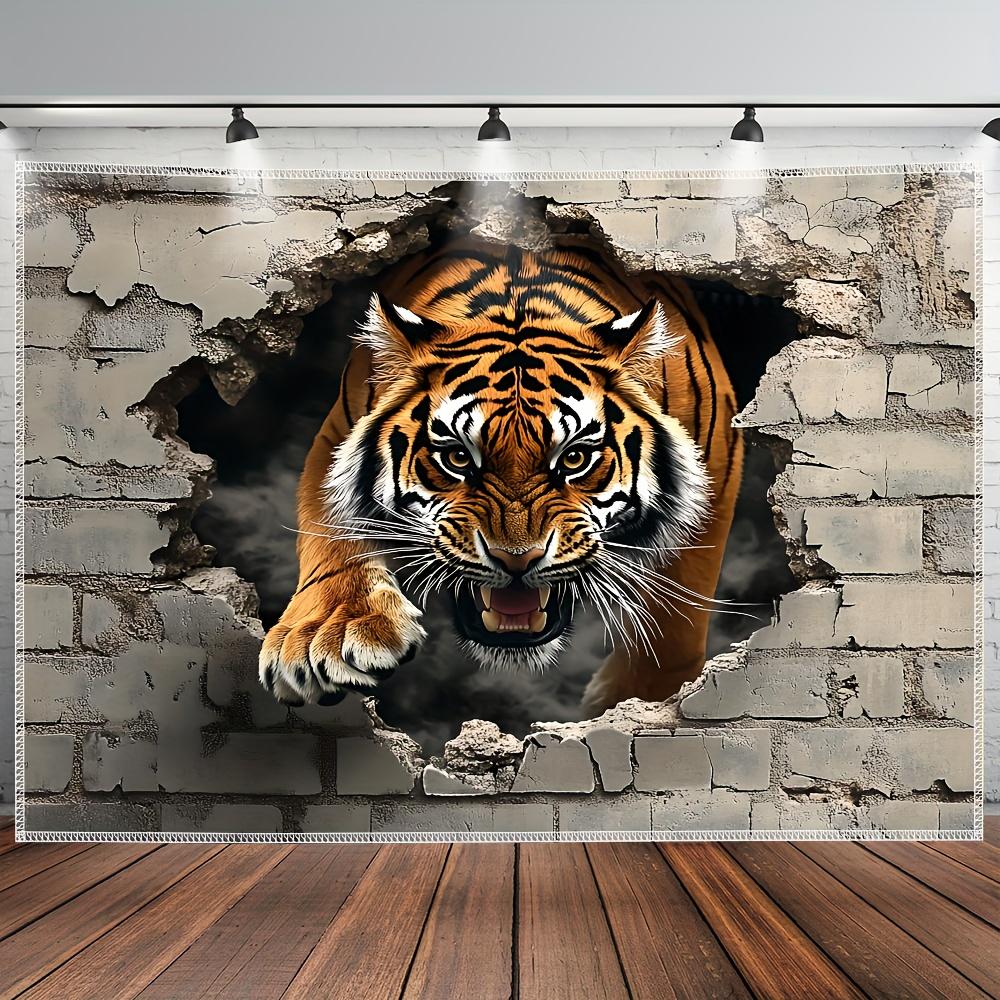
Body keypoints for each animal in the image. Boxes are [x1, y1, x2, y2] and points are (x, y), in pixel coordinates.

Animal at [258, 237, 743, 716]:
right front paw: (330, 631)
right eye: (457, 457)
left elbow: (678, 606)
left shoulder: (716, 460)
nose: (517, 560)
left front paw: (641, 700)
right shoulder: (337, 433)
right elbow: (332, 534)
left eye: (574, 459)